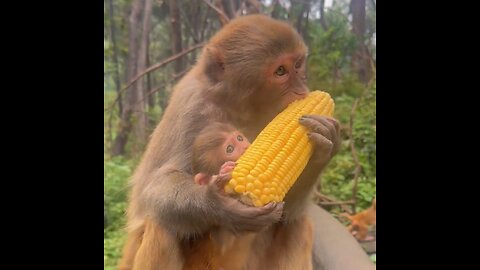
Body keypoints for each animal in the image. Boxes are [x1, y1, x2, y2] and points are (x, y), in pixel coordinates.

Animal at [117, 14, 376, 270]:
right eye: (280, 71)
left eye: (298, 65)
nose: (302, 90)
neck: (243, 109)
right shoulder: (191, 107)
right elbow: (152, 190)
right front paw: (218, 204)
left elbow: (289, 212)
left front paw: (325, 144)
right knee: (161, 224)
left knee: (297, 224)